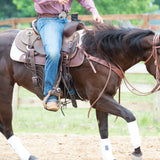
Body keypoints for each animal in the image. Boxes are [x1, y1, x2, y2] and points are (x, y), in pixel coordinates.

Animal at [0, 23, 159, 160]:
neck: (103, 54)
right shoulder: (99, 99)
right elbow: (129, 115)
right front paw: (137, 151)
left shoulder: (102, 99)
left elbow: (104, 129)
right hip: (5, 92)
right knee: (7, 128)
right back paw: (29, 156)